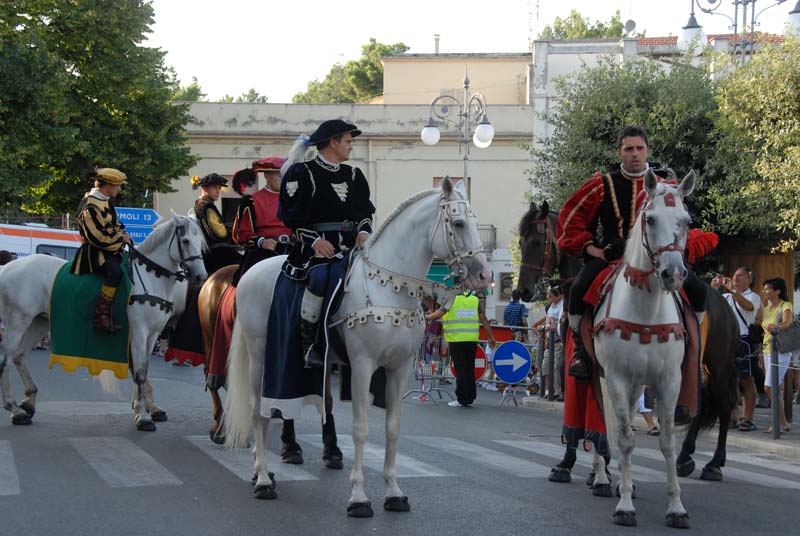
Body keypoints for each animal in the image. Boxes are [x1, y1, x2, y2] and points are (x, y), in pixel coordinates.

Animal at [0, 214, 206, 432]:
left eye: (201, 242)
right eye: (185, 241)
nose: (201, 276)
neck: (151, 278)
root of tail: (7, 268)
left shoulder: (152, 335)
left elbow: (142, 369)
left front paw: (144, 408)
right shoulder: (139, 332)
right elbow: (138, 373)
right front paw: (143, 415)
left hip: (37, 322)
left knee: (19, 356)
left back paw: (29, 402)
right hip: (17, 321)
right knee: (5, 358)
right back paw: (15, 409)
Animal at [222, 178, 490, 516]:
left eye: (474, 222)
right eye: (458, 223)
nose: (484, 275)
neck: (388, 287)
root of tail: (249, 274)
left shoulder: (399, 368)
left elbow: (393, 428)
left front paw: (394, 492)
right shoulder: (362, 366)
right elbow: (361, 430)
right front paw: (359, 497)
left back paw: (264, 470)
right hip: (260, 356)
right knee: (258, 411)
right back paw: (262, 479)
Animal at [592, 171, 696, 528]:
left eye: (687, 221)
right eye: (650, 219)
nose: (673, 273)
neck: (646, 311)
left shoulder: (669, 381)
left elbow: (667, 441)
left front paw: (676, 507)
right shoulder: (617, 378)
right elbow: (624, 438)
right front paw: (624, 505)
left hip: (639, 384)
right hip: (601, 376)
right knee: (601, 424)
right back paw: (601, 478)